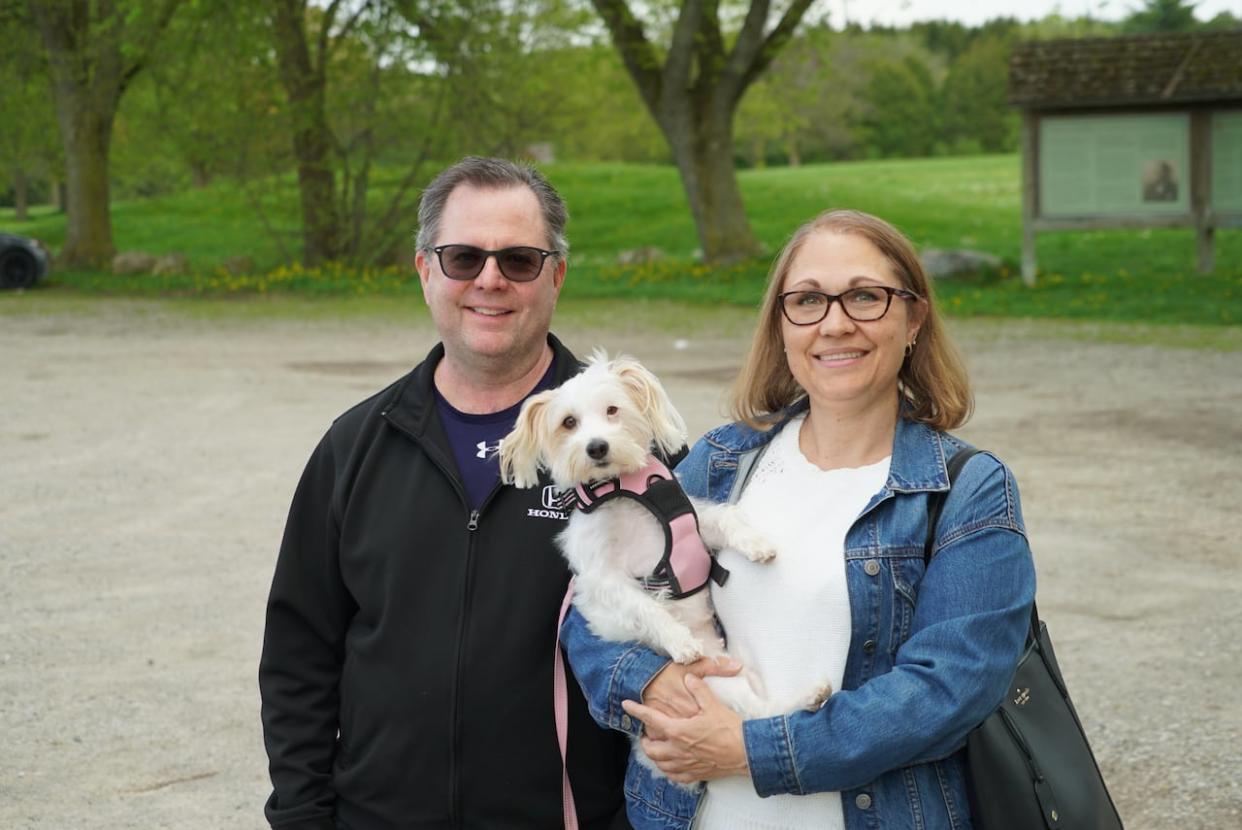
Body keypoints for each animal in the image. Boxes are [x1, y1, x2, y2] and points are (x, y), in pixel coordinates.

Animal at [494, 352, 824, 720]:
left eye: (612, 410)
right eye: (569, 422)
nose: (596, 447)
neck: (620, 491)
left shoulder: (693, 523)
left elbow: (723, 518)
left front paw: (757, 543)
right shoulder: (603, 576)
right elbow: (645, 607)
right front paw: (680, 641)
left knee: (759, 710)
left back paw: (810, 697)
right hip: (714, 680)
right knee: (754, 712)